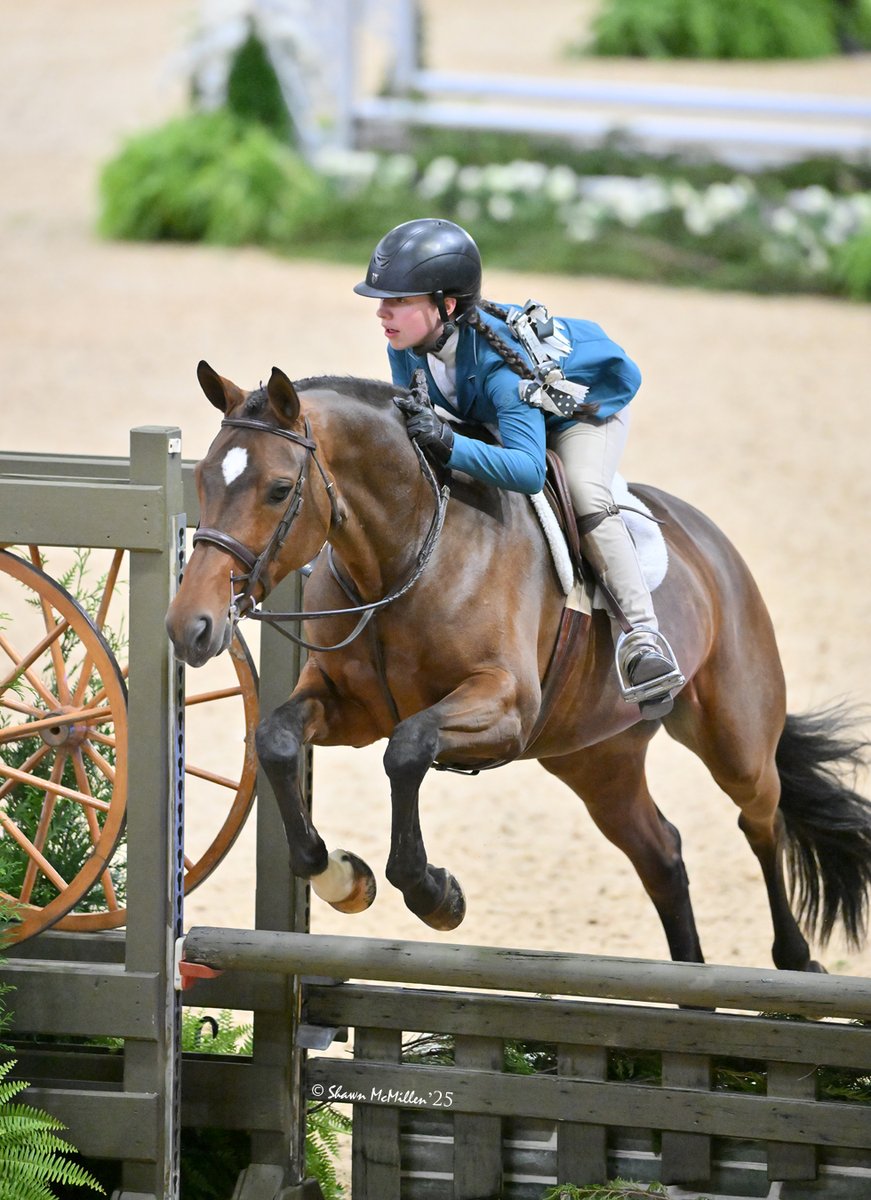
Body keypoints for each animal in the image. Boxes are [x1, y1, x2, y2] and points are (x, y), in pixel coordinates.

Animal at [165, 361, 871, 970]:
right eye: (200, 482)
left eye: (279, 489)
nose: (190, 627)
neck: (405, 556)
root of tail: (712, 544)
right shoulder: (350, 706)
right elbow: (277, 740)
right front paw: (344, 877)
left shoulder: (504, 707)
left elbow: (408, 749)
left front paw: (436, 896)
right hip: (597, 759)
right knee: (662, 853)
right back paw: (691, 987)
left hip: (733, 737)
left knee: (760, 818)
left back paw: (795, 961)